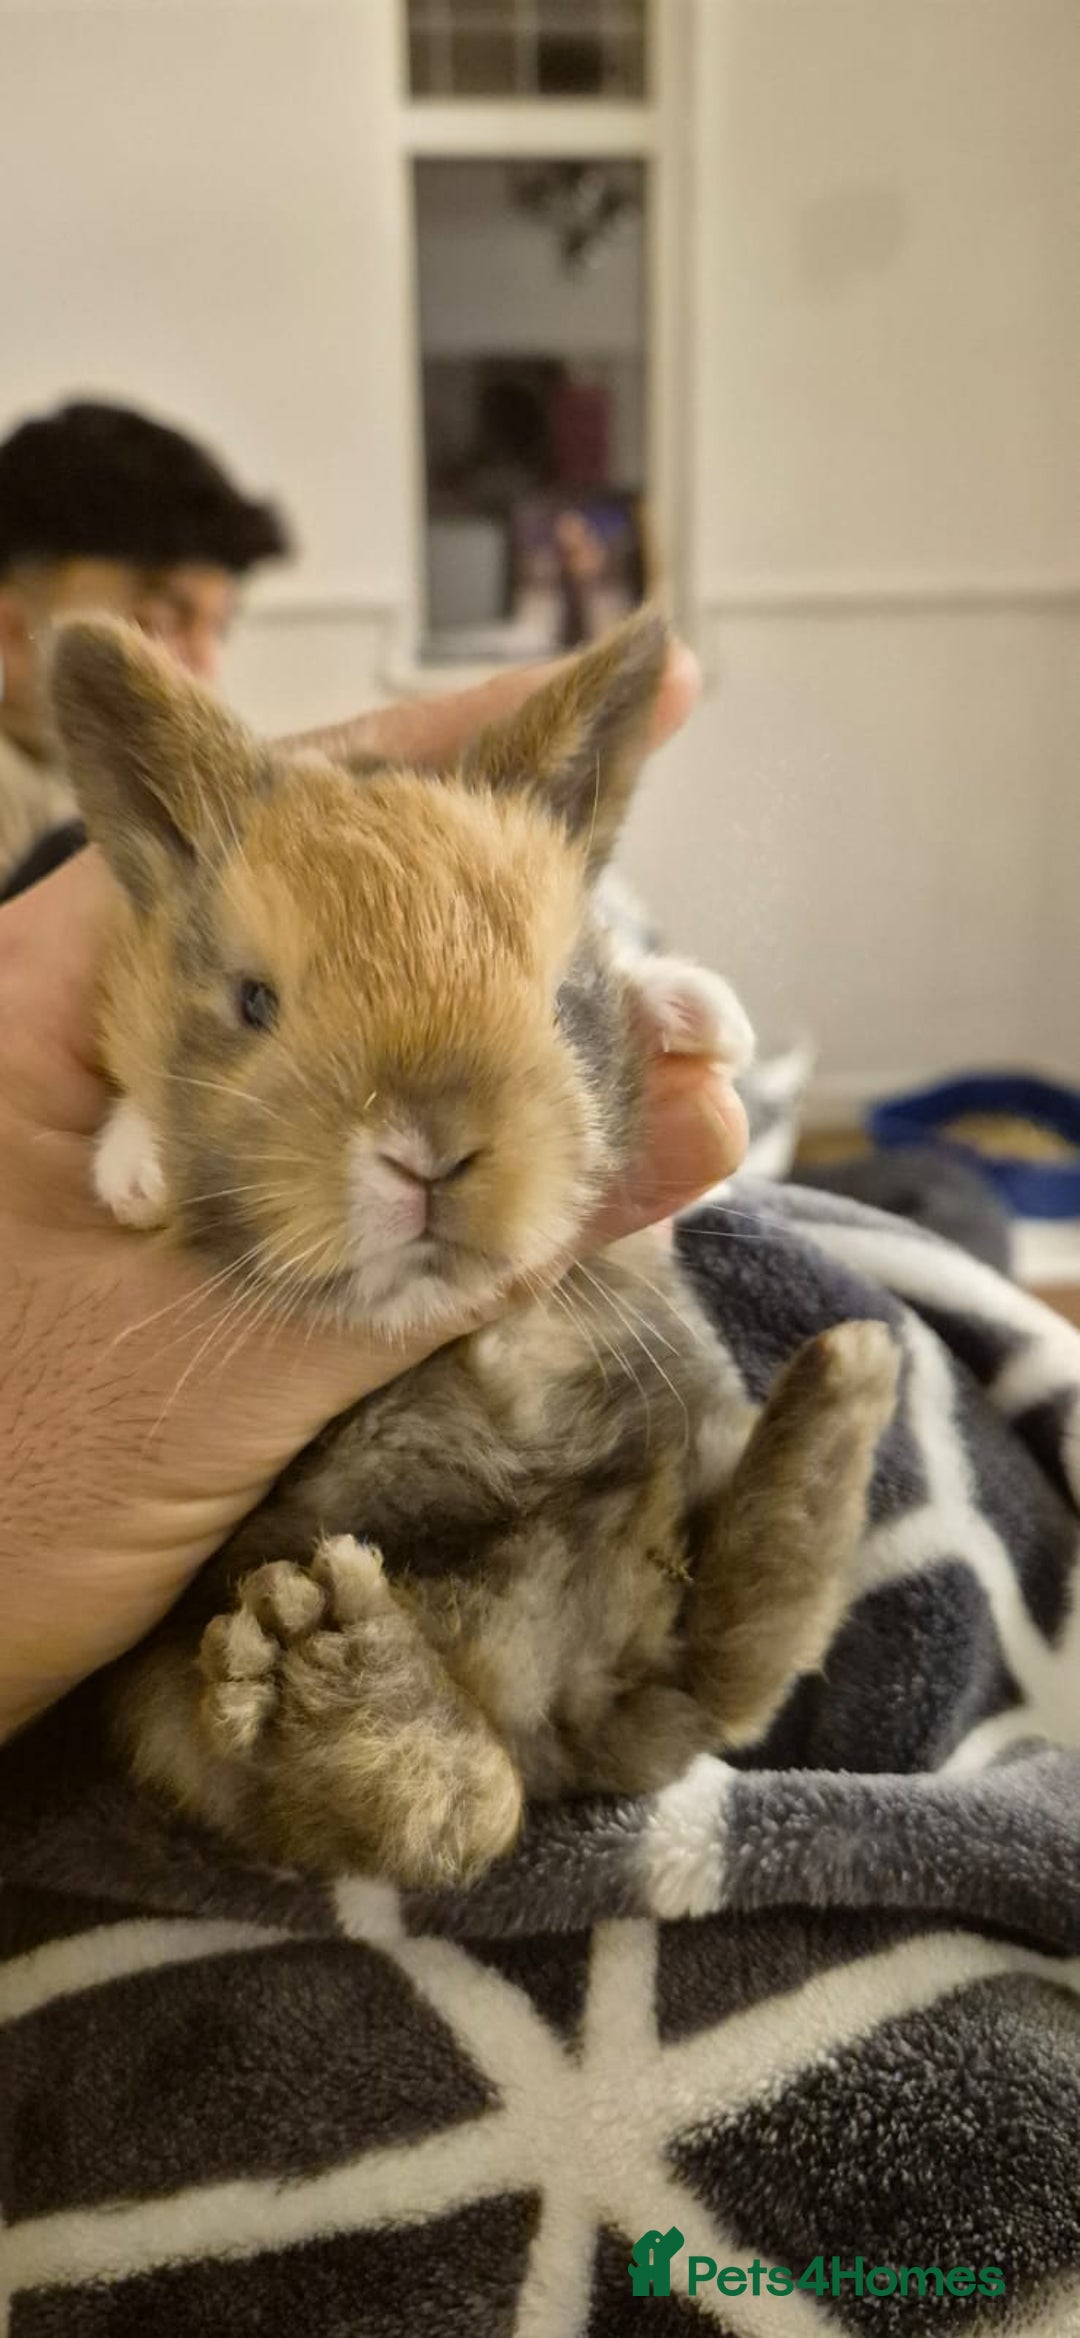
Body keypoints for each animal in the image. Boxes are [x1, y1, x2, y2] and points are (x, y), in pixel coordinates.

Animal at [48, 609, 899, 1891]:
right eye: (253, 1003)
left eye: (559, 1000)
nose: (430, 1151)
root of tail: (550, 1693)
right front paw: (136, 1168)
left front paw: (697, 1010)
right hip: (185, 1682)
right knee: (455, 1806)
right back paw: (338, 1673)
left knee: (732, 1651)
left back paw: (845, 1383)